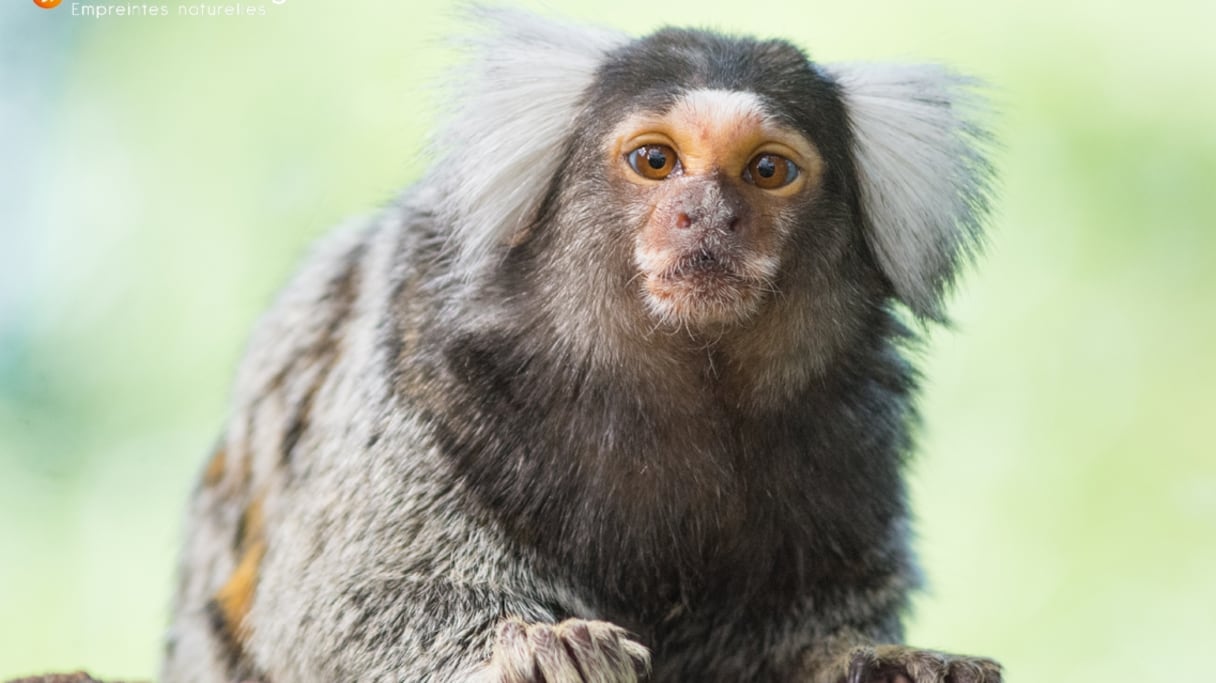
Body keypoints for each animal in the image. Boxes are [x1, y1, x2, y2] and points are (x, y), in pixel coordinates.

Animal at [161, 6, 997, 680]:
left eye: (768, 169)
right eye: (655, 161)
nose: (707, 215)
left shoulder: (854, 444)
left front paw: (880, 657)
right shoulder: (415, 369)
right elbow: (347, 601)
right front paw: (537, 645)